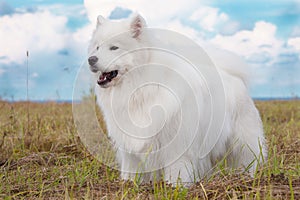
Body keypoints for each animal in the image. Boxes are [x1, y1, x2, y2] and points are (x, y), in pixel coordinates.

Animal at [87, 13, 268, 184]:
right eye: (97, 47)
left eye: (114, 48)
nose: (91, 59)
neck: (139, 88)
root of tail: (233, 76)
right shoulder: (130, 149)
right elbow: (130, 170)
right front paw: (127, 184)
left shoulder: (177, 146)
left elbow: (176, 172)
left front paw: (174, 187)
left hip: (242, 142)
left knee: (248, 159)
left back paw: (248, 178)